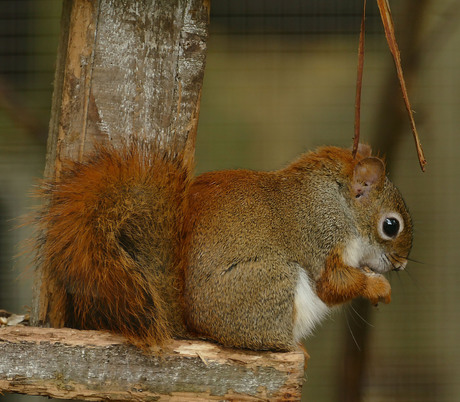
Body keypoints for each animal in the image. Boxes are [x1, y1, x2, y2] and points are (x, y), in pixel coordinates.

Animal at [34, 141, 412, 352]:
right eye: (390, 226)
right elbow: (332, 283)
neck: (340, 201)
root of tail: (191, 326)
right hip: (271, 280)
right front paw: (379, 287)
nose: (402, 266)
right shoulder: (319, 232)